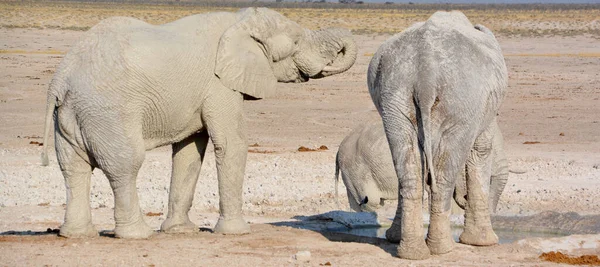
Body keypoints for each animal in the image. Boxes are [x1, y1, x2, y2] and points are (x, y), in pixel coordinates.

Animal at [41, 7, 356, 241]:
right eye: (296, 42)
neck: (239, 22)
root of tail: (61, 79)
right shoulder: (218, 84)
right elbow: (232, 142)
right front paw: (236, 232)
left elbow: (189, 151)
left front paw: (181, 231)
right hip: (108, 111)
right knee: (125, 165)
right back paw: (137, 235)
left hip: (71, 115)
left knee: (73, 167)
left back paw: (76, 235)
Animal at [366, 11, 506, 260]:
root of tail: (426, 73)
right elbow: (480, 150)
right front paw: (483, 243)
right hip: (461, 100)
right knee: (443, 173)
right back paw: (443, 249)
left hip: (396, 94)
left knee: (408, 168)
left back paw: (412, 253)